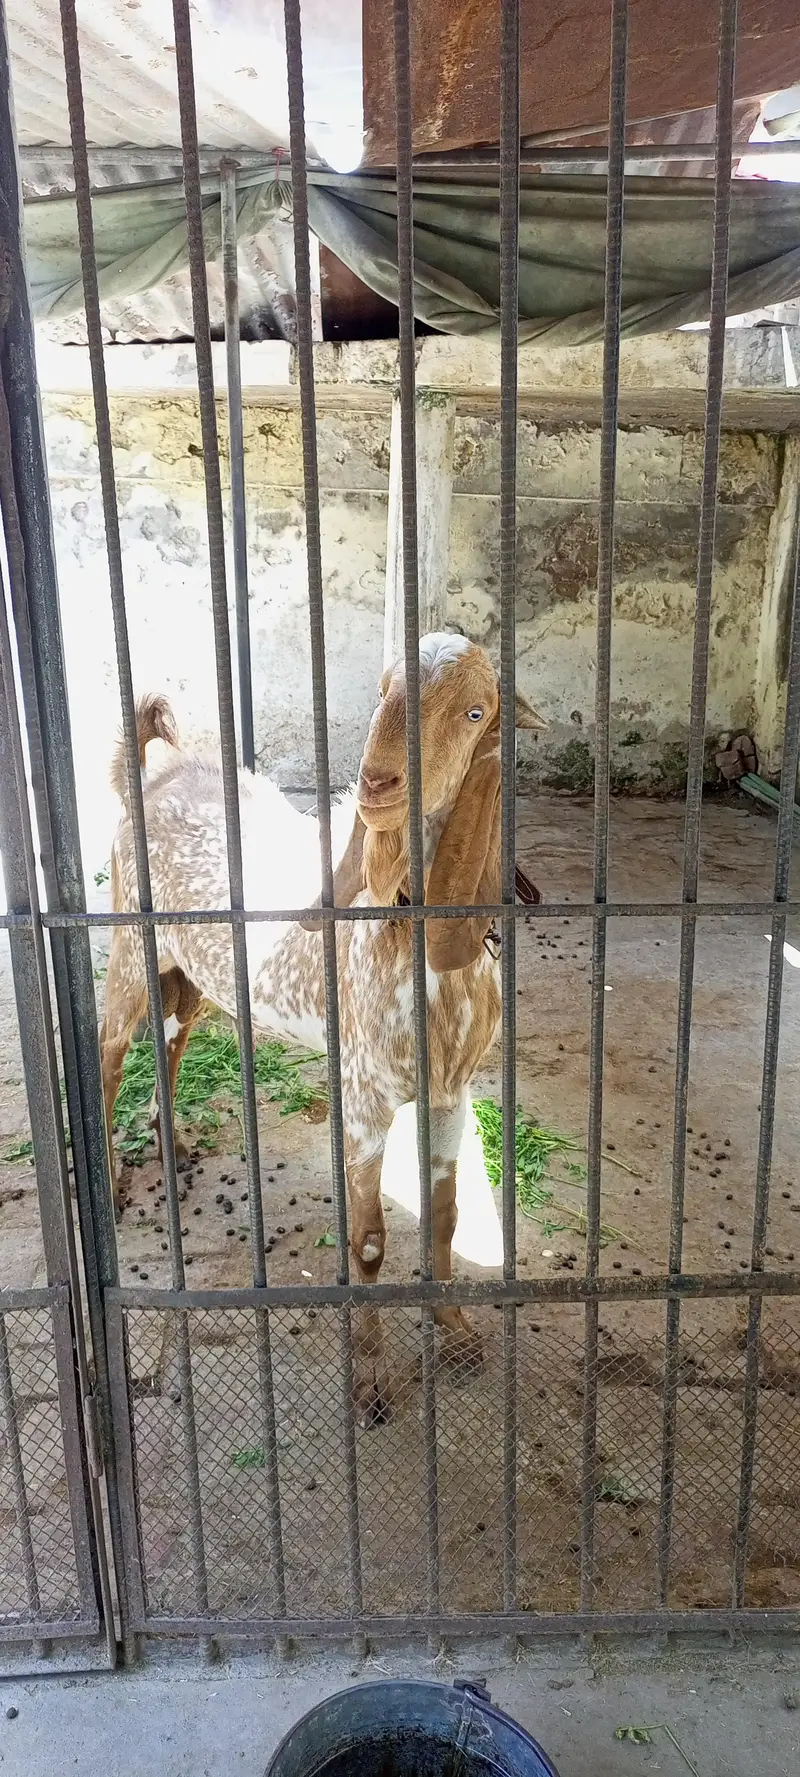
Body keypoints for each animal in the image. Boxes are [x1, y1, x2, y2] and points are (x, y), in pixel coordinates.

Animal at [100, 634, 545, 1422]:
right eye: (383, 690)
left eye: (474, 712)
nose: (378, 781)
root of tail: (154, 779)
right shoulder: (365, 1100)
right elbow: (367, 1241)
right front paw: (370, 1383)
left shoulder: (449, 1093)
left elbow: (446, 1215)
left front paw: (457, 1330)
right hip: (129, 950)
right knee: (105, 1057)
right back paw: (107, 1185)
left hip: (192, 977)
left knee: (174, 1039)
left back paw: (170, 1140)